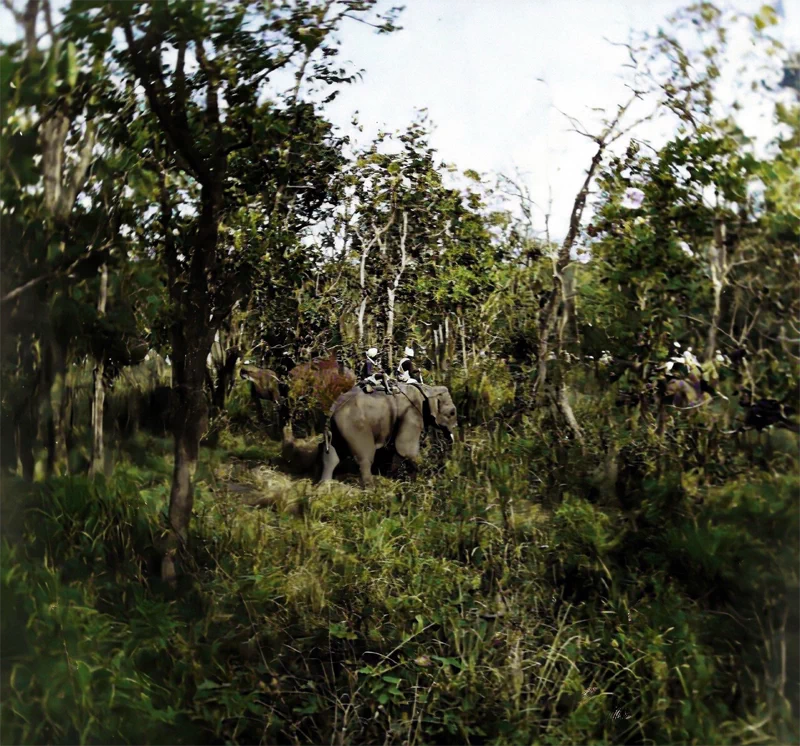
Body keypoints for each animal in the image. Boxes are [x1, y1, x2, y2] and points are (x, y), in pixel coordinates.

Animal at [318, 380, 456, 486]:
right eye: (452, 412)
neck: (427, 389)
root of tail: (332, 410)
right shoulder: (411, 414)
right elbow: (405, 449)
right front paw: (429, 475)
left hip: (337, 430)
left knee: (330, 457)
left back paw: (324, 487)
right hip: (354, 426)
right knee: (365, 458)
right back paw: (371, 490)